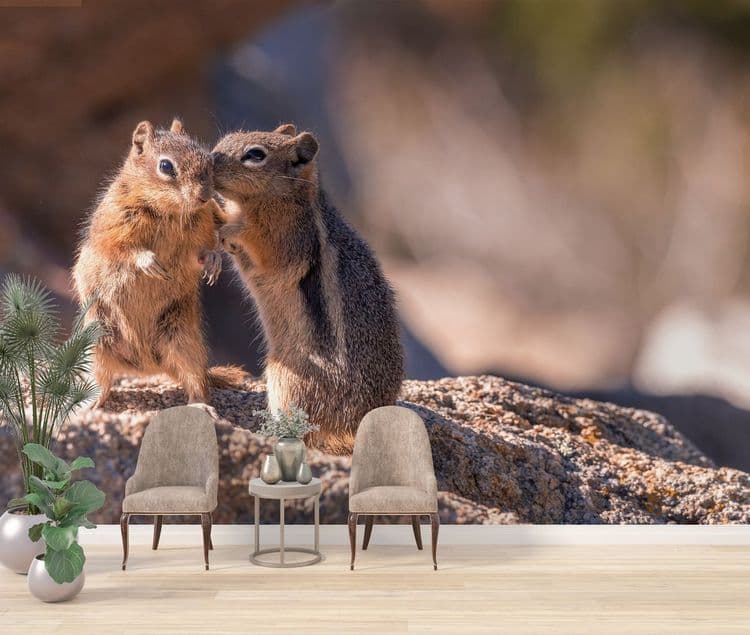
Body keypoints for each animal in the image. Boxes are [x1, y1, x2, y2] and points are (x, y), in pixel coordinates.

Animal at [73, 118, 240, 408]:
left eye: (209, 161)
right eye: (166, 166)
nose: (205, 196)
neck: (168, 211)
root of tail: (148, 367)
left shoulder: (206, 226)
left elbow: (205, 251)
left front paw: (213, 261)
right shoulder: (113, 226)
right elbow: (123, 249)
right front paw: (148, 261)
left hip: (184, 341)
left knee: (196, 381)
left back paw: (201, 406)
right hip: (97, 341)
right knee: (103, 381)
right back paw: (92, 404)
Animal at [211, 123, 404, 452]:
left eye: (255, 155)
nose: (208, 162)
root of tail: (353, 426)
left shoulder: (282, 237)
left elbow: (255, 242)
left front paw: (222, 224)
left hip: (287, 377)